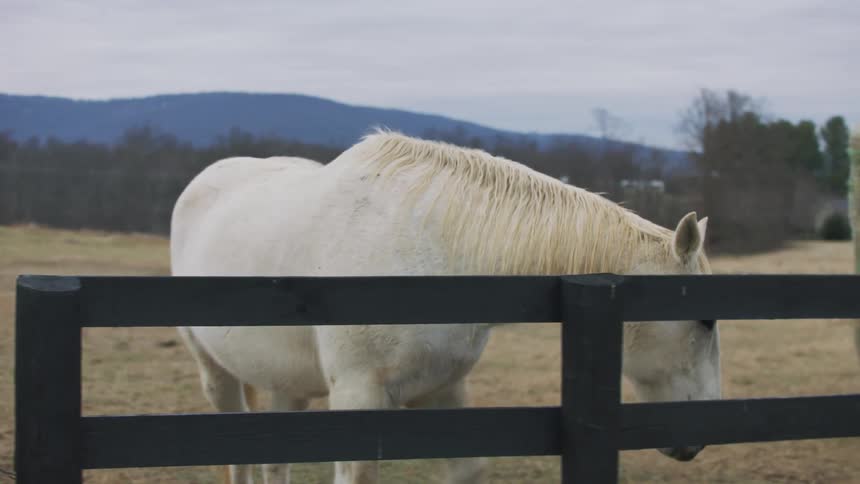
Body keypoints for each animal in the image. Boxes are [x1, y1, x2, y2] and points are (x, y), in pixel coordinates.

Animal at [170, 132, 721, 484]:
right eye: (706, 318)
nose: (696, 440)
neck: (434, 252)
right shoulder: (358, 395)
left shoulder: (442, 388)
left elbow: (466, 468)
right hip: (215, 374)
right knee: (239, 459)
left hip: (287, 383)